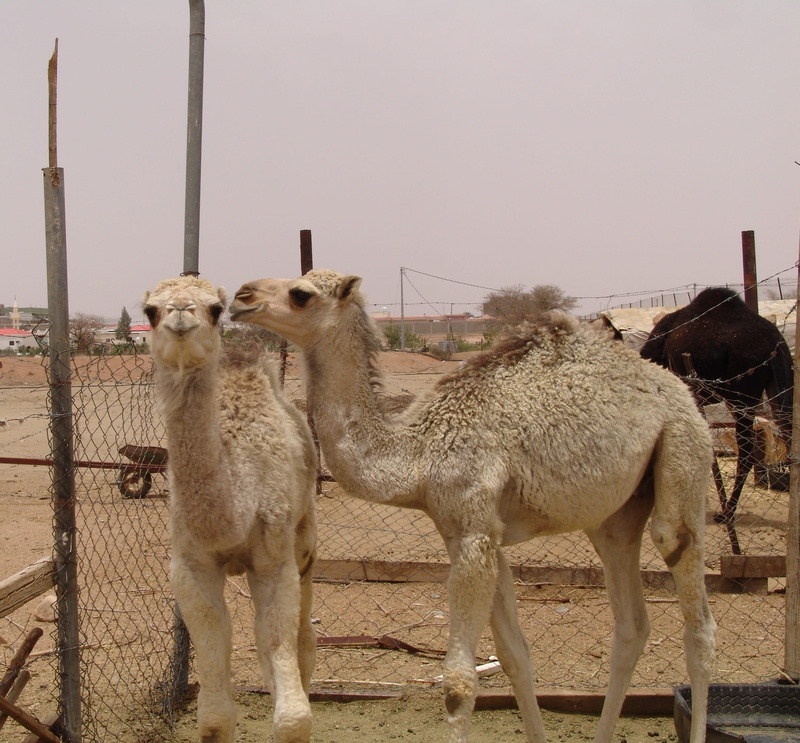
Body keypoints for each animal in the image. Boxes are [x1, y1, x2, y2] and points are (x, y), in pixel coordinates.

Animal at [143, 276, 318, 743]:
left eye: (215, 308)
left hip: (305, 534)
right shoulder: (191, 565)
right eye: (150, 310)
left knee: (302, 636)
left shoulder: (274, 562)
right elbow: (215, 717)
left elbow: (293, 717)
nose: (180, 312)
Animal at [229, 269, 716, 743]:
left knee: (695, 616)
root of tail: (673, 386)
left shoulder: (473, 533)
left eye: (301, 294)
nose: (241, 296)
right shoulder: (473, 534)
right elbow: (515, 656)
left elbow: (459, 684)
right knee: (631, 625)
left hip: (682, 448)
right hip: (615, 517)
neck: (418, 455)